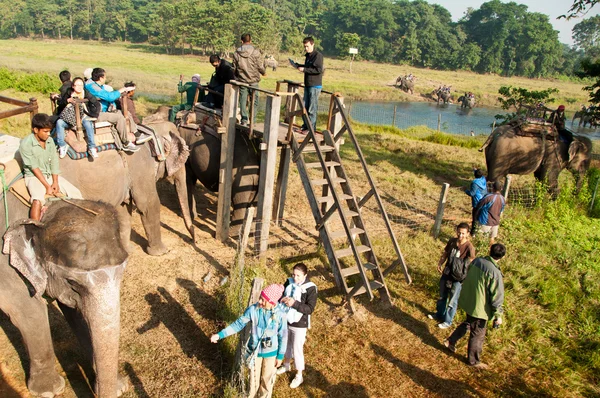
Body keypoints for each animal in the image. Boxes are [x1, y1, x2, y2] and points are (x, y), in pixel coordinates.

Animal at [0, 199, 129, 398]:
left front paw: (119, 387)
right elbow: (29, 311)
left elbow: (76, 315)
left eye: (122, 275)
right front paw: (48, 391)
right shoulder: (5, 265)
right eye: (72, 282)